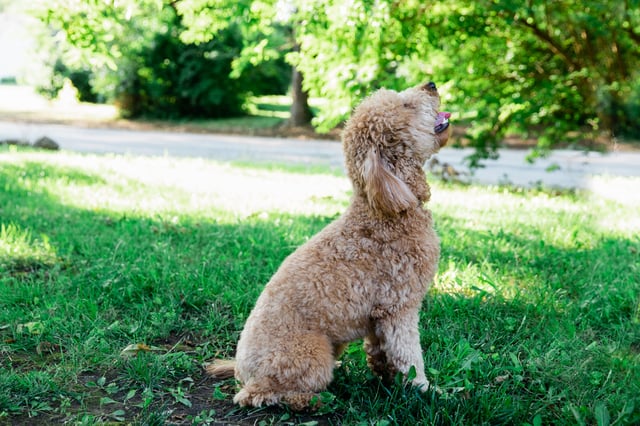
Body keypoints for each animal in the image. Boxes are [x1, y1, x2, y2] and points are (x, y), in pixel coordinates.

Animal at [208, 80, 452, 410]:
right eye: (406, 106)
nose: (431, 84)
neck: (387, 210)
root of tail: (241, 372)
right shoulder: (398, 307)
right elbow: (409, 356)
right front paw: (426, 391)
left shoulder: (378, 317)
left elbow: (382, 353)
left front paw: (387, 380)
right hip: (311, 353)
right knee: (258, 395)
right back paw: (313, 400)